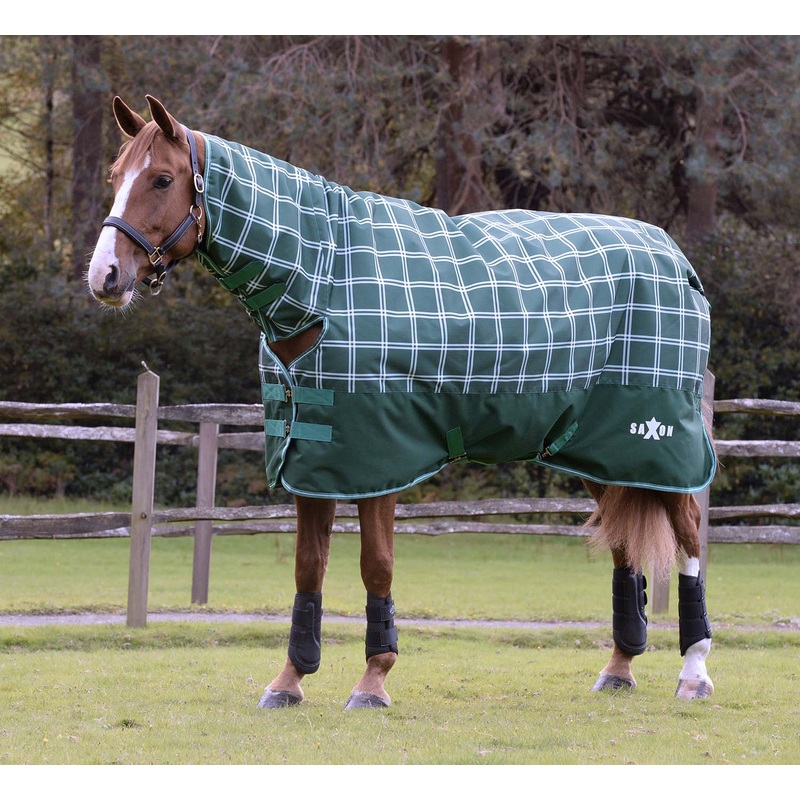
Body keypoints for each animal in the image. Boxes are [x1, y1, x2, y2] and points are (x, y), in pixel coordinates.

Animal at [87, 95, 716, 709]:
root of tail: (675, 258)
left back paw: (694, 671)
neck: (325, 280)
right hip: (598, 449)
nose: (104, 276)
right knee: (623, 544)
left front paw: (373, 680)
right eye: (115, 177)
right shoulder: (313, 461)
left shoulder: (377, 461)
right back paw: (619, 668)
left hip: (655, 443)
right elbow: (308, 568)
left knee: (688, 533)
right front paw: (290, 679)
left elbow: (376, 566)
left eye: (162, 179)